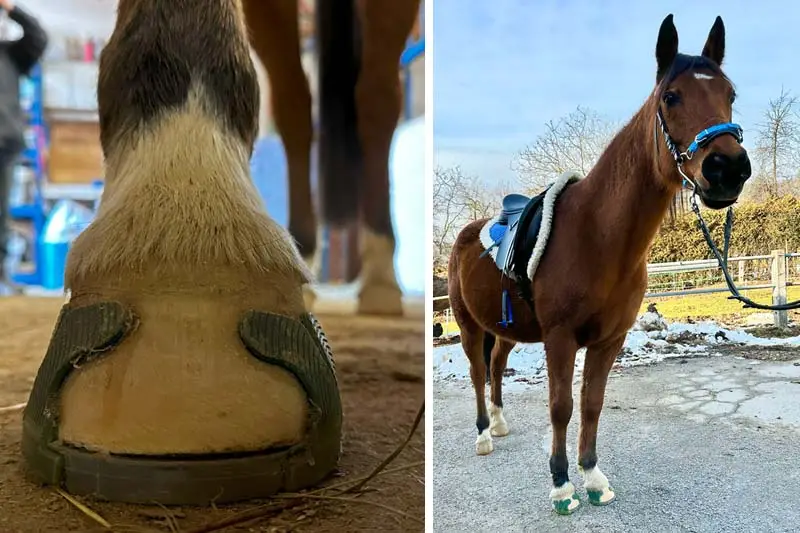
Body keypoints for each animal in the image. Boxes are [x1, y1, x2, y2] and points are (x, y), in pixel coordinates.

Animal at [447, 14, 751, 515]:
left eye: (730, 93)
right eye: (671, 97)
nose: (728, 169)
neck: (597, 237)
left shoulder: (610, 340)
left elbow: (592, 403)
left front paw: (592, 477)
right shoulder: (560, 338)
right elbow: (561, 407)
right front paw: (561, 486)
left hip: (504, 329)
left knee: (495, 367)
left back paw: (499, 423)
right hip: (469, 325)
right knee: (476, 372)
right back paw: (483, 437)